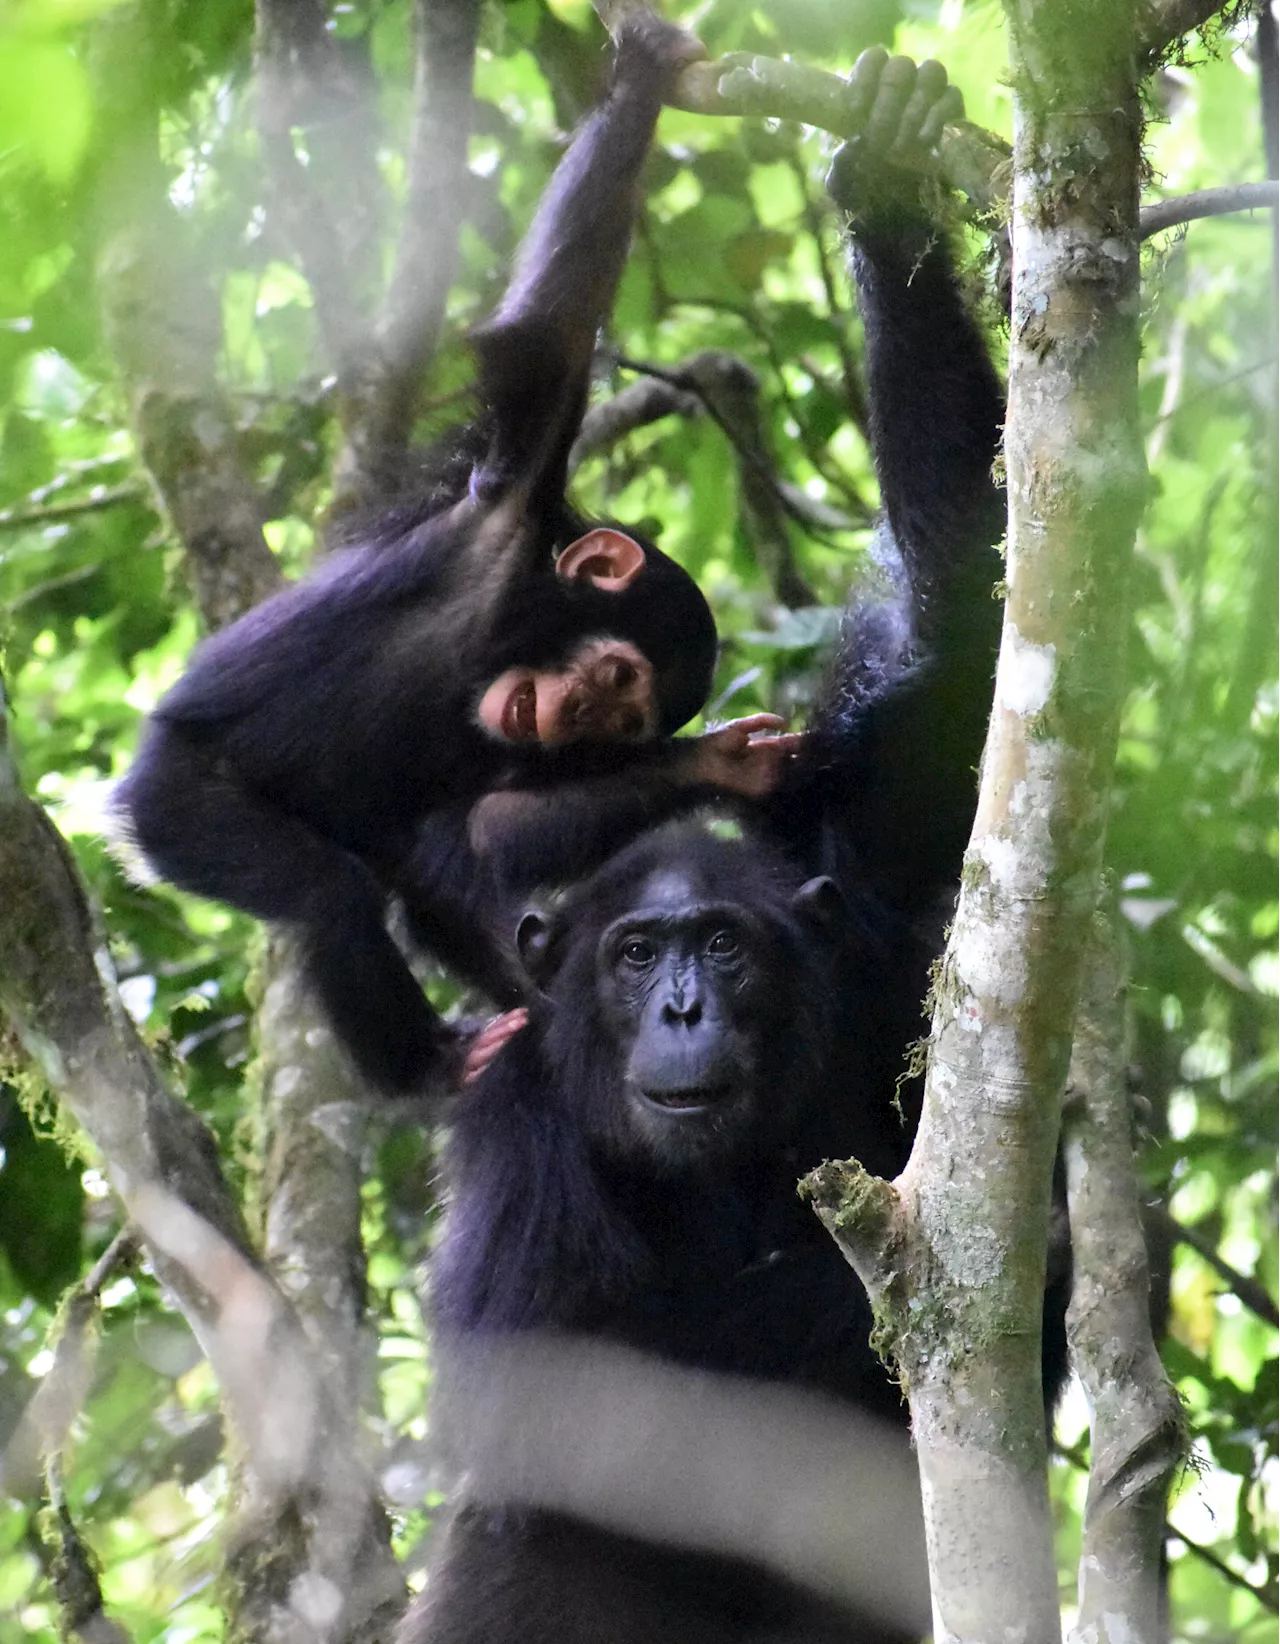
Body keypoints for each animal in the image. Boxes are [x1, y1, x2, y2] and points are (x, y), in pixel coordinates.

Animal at [115, 16, 791, 1091]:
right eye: (612, 679)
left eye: (619, 722)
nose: (571, 718)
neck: (504, 632)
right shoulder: (506, 508)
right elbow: (547, 339)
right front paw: (641, 78)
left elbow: (492, 823)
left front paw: (722, 768)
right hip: (171, 798)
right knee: (326, 892)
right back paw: (426, 1065)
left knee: (427, 872)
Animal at [405, 48, 1064, 1644]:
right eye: (637, 954)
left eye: (722, 947)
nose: (686, 1007)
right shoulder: (513, 1109)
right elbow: (542, 1391)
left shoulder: (882, 891)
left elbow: (969, 650)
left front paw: (880, 171)